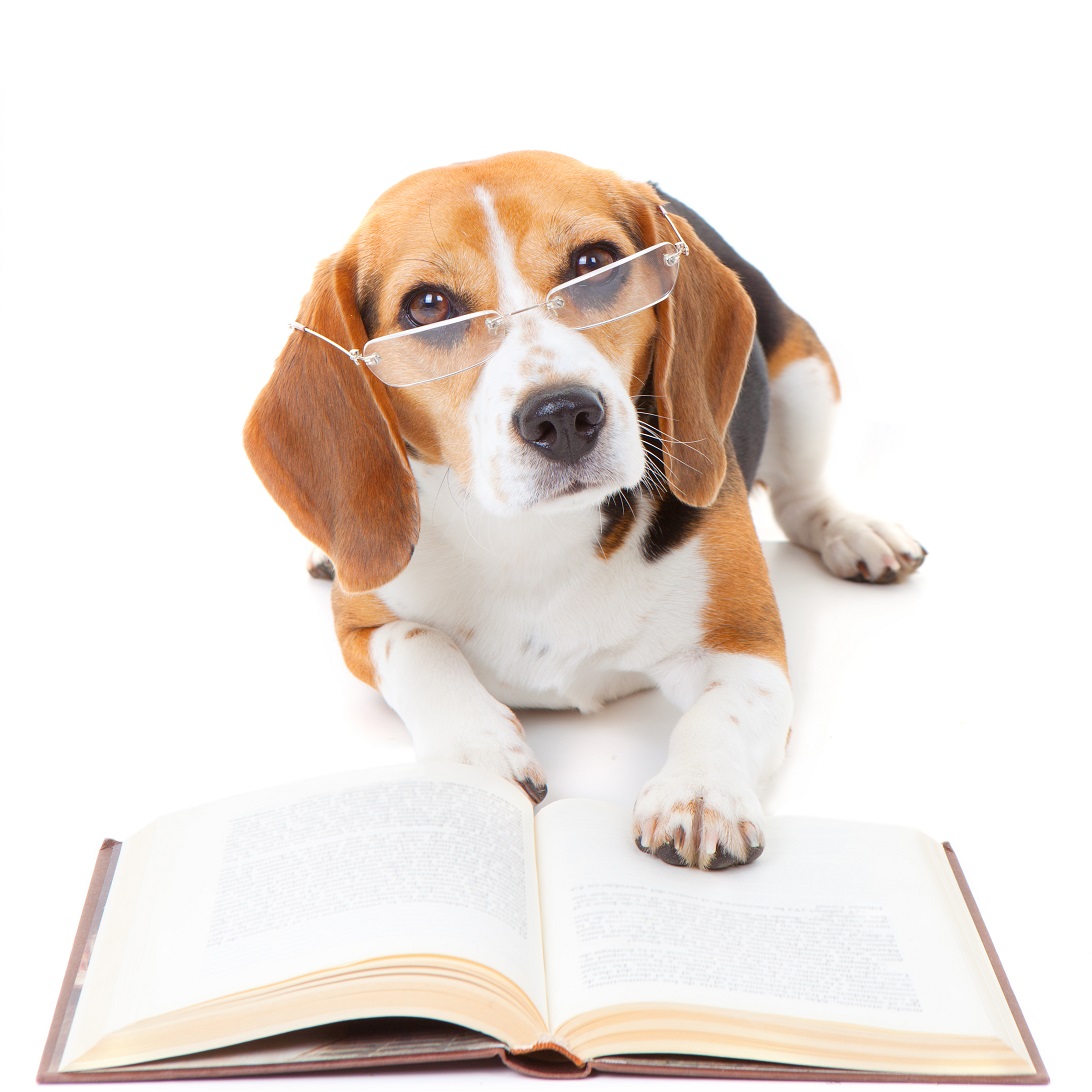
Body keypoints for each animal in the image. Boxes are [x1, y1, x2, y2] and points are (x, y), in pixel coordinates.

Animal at [243, 151, 926, 869]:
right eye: (428, 305)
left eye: (593, 263)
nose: (564, 415)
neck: (531, 537)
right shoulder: (361, 624)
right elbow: (421, 645)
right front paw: (477, 753)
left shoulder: (745, 645)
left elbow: (722, 711)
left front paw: (699, 791)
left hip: (802, 371)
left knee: (801, 498)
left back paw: (856, 532)